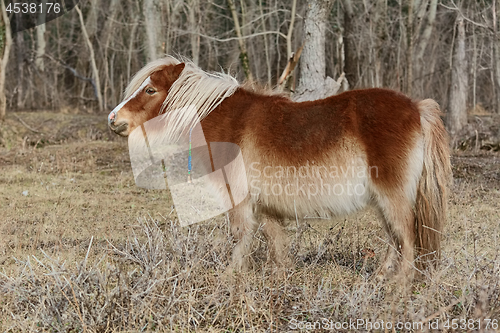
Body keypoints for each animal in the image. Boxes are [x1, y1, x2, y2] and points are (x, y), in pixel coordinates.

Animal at [109, 56, 454, 280]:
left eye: (150, 90)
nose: (114, 119)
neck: (228, 121)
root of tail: (416, 108)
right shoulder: (265, 206)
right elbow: (275, 242)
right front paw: (279, 278)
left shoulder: (240, 199)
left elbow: (240, 235)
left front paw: (230, 277)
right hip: (383, 199)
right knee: (395, 237)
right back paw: (380, 278)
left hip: (392, 194)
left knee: (406, 236)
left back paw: (399, 287)